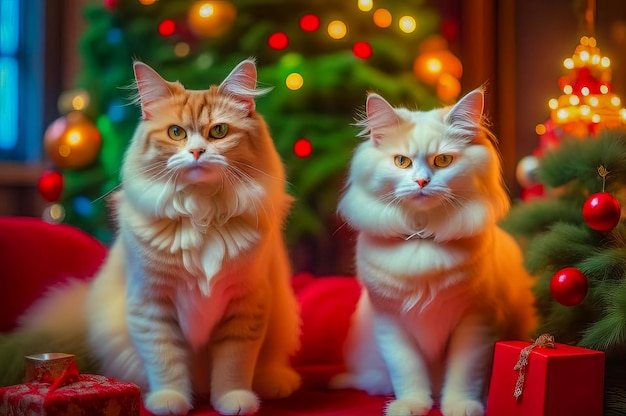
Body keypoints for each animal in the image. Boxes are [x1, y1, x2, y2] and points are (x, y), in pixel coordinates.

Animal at [15, 59, 298, 416]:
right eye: (176, 133)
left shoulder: (246, 305)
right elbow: (166, 361)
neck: (201, 214)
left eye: (218, 131)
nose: (196, 152)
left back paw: (276, 382)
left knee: (267, 365)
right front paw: (170, 400)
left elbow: (234, 364)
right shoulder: (152, 305)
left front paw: (233, 400)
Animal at [330, 88, 532, 416]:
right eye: (401, 161)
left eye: (443, 160)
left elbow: (465, 372)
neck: (422, 238)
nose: (422, 181)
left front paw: (460, 406)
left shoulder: (477, 320)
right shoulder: (390, 320)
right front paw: (411, 405)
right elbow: (407, 370)